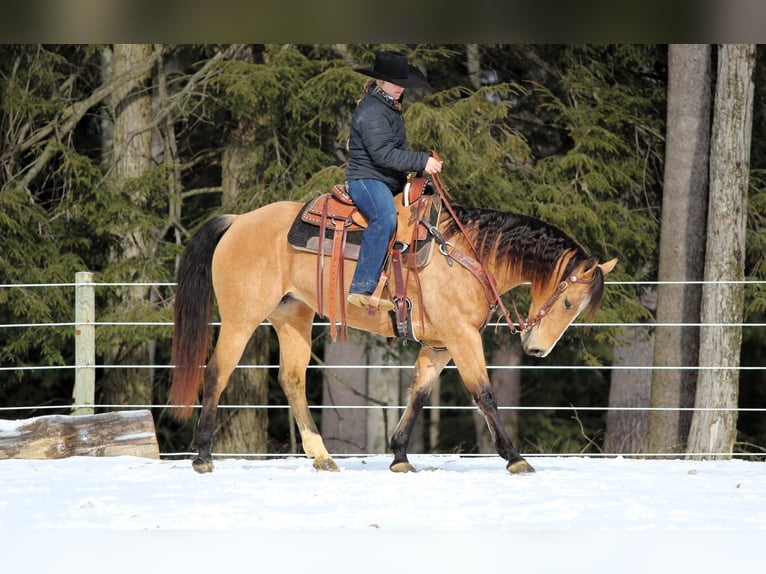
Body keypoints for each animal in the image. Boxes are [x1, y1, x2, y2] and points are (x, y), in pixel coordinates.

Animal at [168, 180, 616, 476]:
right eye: (569, 302)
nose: (537, 349)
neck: (466, 257)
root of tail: (239, 220)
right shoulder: (462, 338)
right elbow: (484, 394)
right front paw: (515, 457)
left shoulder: (439, 346)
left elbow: (418, 394)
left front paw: (400, 455)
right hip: (240, 318)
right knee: (217, 371)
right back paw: (202, 456)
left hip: (293, 317)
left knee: (292, 380)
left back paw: (322, 456)